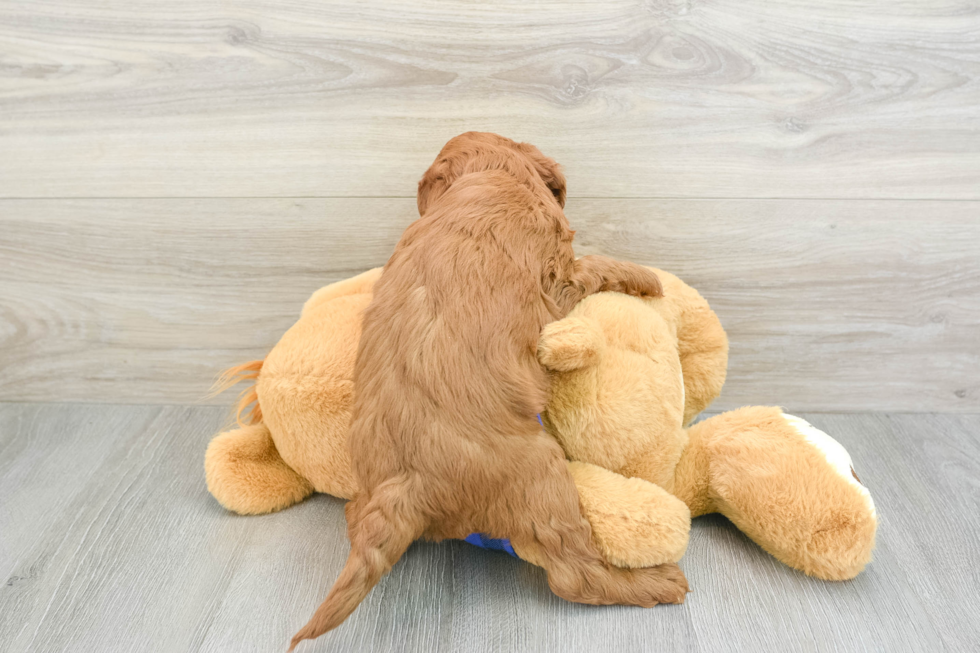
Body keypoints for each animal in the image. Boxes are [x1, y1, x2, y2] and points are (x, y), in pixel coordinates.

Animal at [290, 131, 688, 648]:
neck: (492, 173)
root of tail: (406, 485)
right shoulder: (558, 279)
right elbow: (596, 264)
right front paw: (647, 278)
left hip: (372, 490)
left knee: (356, 518)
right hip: (544, 474)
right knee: (575, 576)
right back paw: (654, 583)